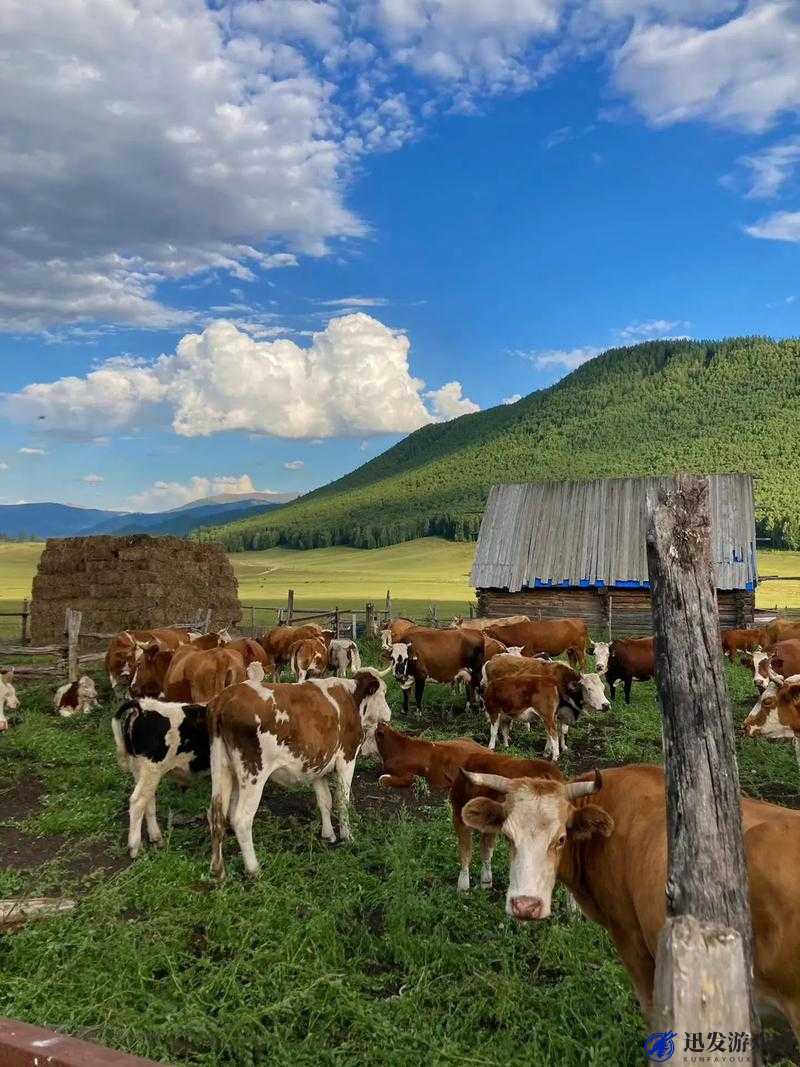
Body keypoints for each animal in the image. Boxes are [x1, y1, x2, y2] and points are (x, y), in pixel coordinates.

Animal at [112, 695, 210, 853]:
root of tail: (142, 705)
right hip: (152, 768)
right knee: (137, 801)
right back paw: (134, 847)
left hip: (141, 770)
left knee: (148, 800)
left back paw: (156, 838)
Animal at [208, 665, 392, 874]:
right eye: (383, 692)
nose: (389, 715)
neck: (351, 698)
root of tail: (225, 697)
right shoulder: (347, 757)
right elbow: (341, 800)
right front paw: (347, 836)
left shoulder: (318, 763)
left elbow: (324, 800)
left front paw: (328, 834)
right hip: (254, 774)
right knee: (241, 818)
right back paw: (254, 870)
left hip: (223, 768)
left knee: (217, 815)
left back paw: (218, 870)